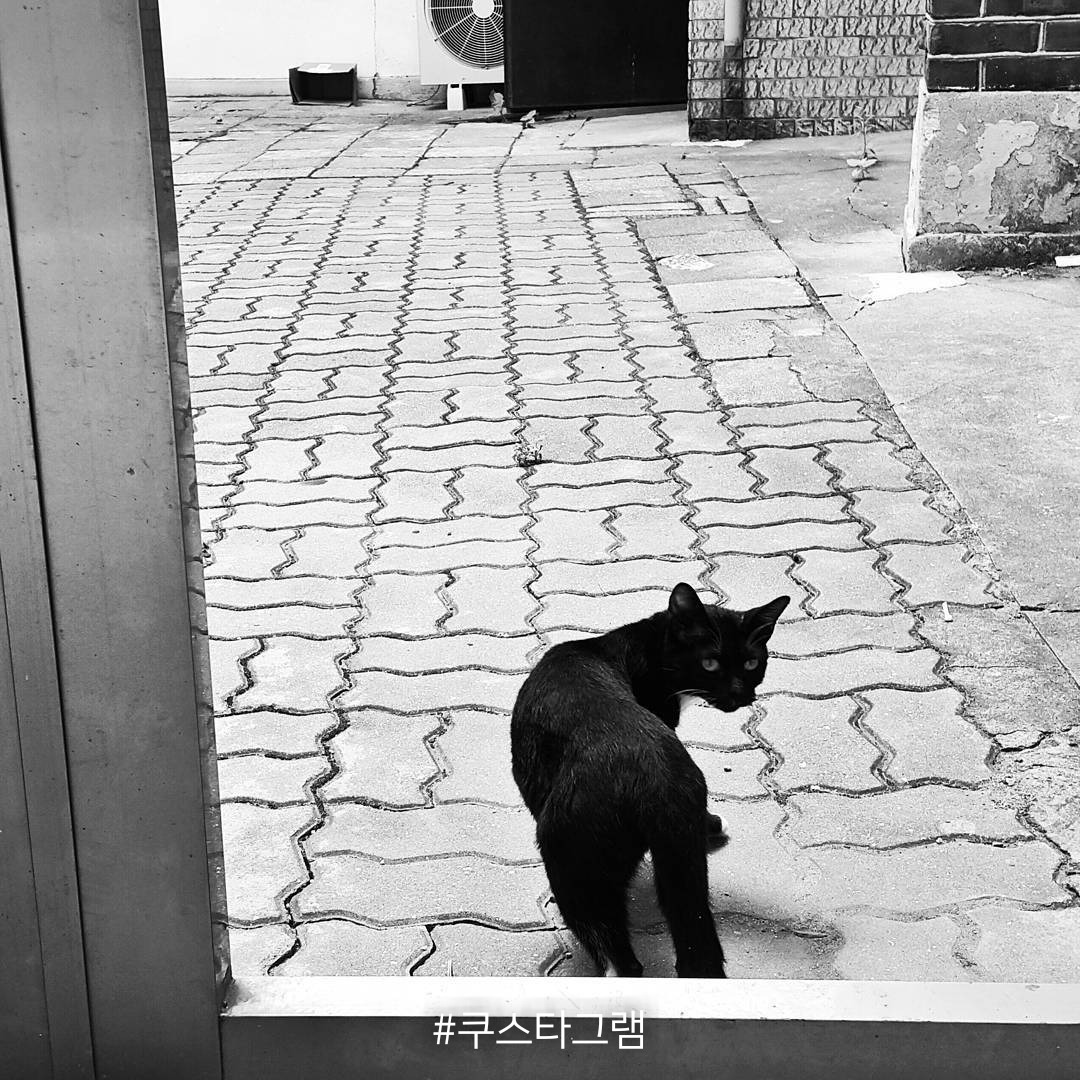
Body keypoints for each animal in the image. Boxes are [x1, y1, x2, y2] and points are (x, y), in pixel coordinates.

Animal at [511, 582, 790, 978]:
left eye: (751, 663)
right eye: (710, 663)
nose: (740, 694)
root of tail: (655, 773)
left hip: (572, 860)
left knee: (616, 952)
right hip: (679, 857)